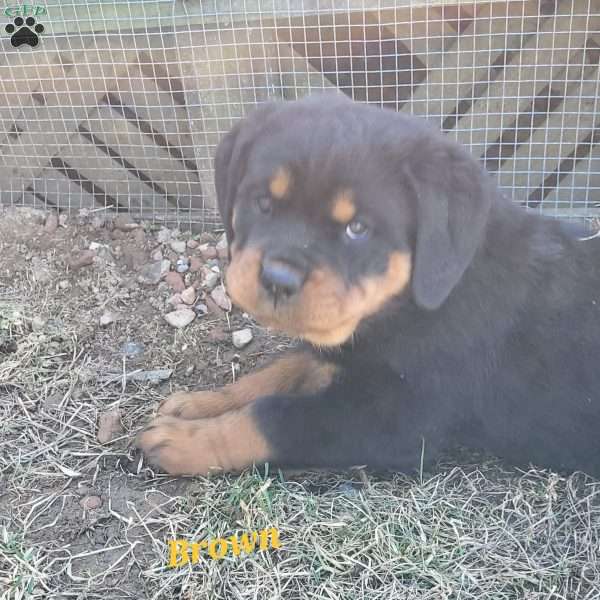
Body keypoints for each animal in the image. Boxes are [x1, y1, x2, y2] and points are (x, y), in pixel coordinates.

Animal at [136, 94, 600, 478]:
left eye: (357, 228)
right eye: (263, 203)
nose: (277, 279)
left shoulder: (397, 417)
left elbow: (275, 416)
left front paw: (186, 440)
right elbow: (281, 370)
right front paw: (201, 403)